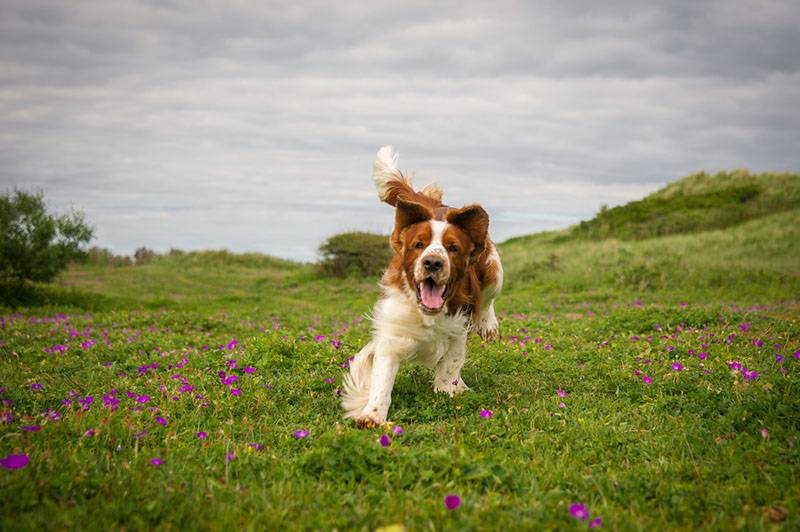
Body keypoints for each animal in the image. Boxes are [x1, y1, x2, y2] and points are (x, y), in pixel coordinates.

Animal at [340, 147, 504, 428]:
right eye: (419, 244)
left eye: (453, 248)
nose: (433, 262)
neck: (427, 313)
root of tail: (437, 207)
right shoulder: (392, 334)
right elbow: (381, 380)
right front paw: (372, 415)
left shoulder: (457, 330)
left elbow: (450, 364)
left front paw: (448, 390)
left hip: (494, 268)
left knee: (487, 300)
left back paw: (487, 325)